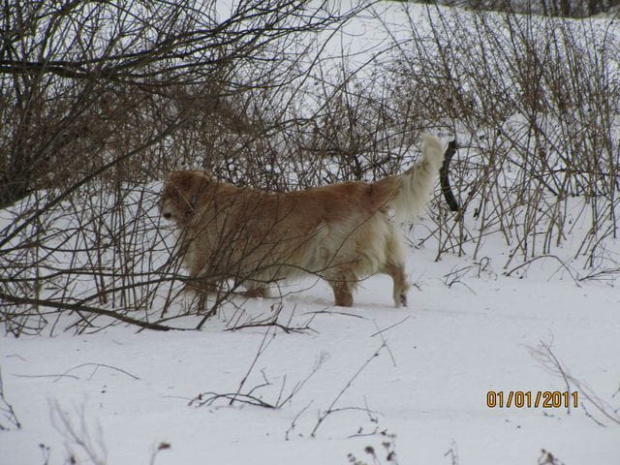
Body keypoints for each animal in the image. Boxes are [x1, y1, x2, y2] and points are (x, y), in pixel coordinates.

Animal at [157, 133, 444, 308]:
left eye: (168, 192)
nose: (161, 210)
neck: (202, 200)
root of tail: (368, 188)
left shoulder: (204, 261)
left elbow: (193, 285)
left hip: (335, 259)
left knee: (346, 295)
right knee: (397, 269)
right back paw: (401, 297)